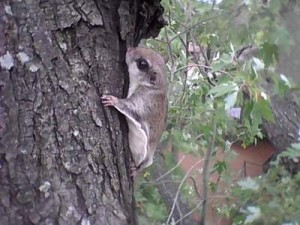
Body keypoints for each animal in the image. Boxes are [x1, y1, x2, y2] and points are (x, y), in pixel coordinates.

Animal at [102, 47, 169, 178]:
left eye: (143, 64)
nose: (129, 48)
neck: (153, 87)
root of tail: (149, 158)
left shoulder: (144, 102)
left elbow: (130, 107)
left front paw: (113, 100)